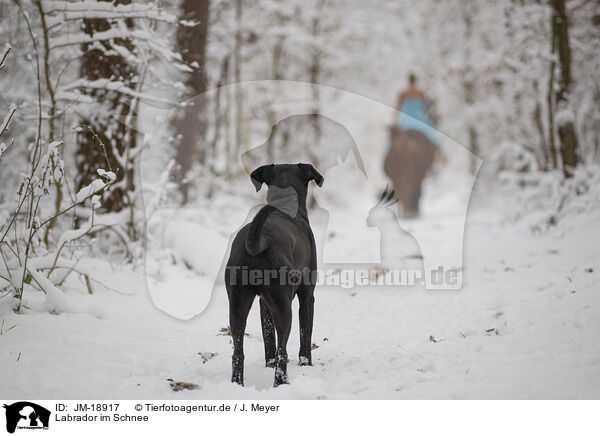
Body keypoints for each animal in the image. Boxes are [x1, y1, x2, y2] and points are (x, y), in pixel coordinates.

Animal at [225, 163, 322, 384]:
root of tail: (256, 243)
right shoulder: (307, 296)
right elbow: (305, 333)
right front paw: (306, 364)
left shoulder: (263, 302)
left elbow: (268, 337)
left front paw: (267, 366)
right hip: (283, 306)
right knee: (282, 351)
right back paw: (281, 382)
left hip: (237, 304)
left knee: (238, 352)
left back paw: (237, 383)